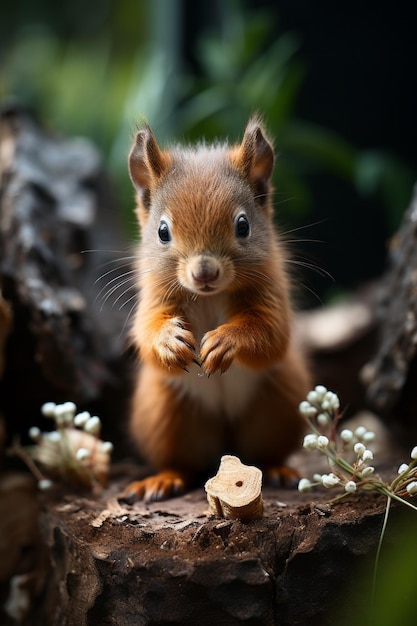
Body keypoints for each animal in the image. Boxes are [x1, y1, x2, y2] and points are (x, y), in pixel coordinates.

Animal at [122, 114, 310, 500]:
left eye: (243, 225)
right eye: (162, 231)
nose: (204, 272)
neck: (207, 295)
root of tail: (226, 446)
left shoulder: (272, 291)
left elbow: (271, 333)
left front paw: (225, 342)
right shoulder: (152, 297)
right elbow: (146, 332)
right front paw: (168, 342)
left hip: (277, 405)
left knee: (265, 452)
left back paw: (279, 469)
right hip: (168, 416)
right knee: (183, 463)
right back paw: (164, 479)